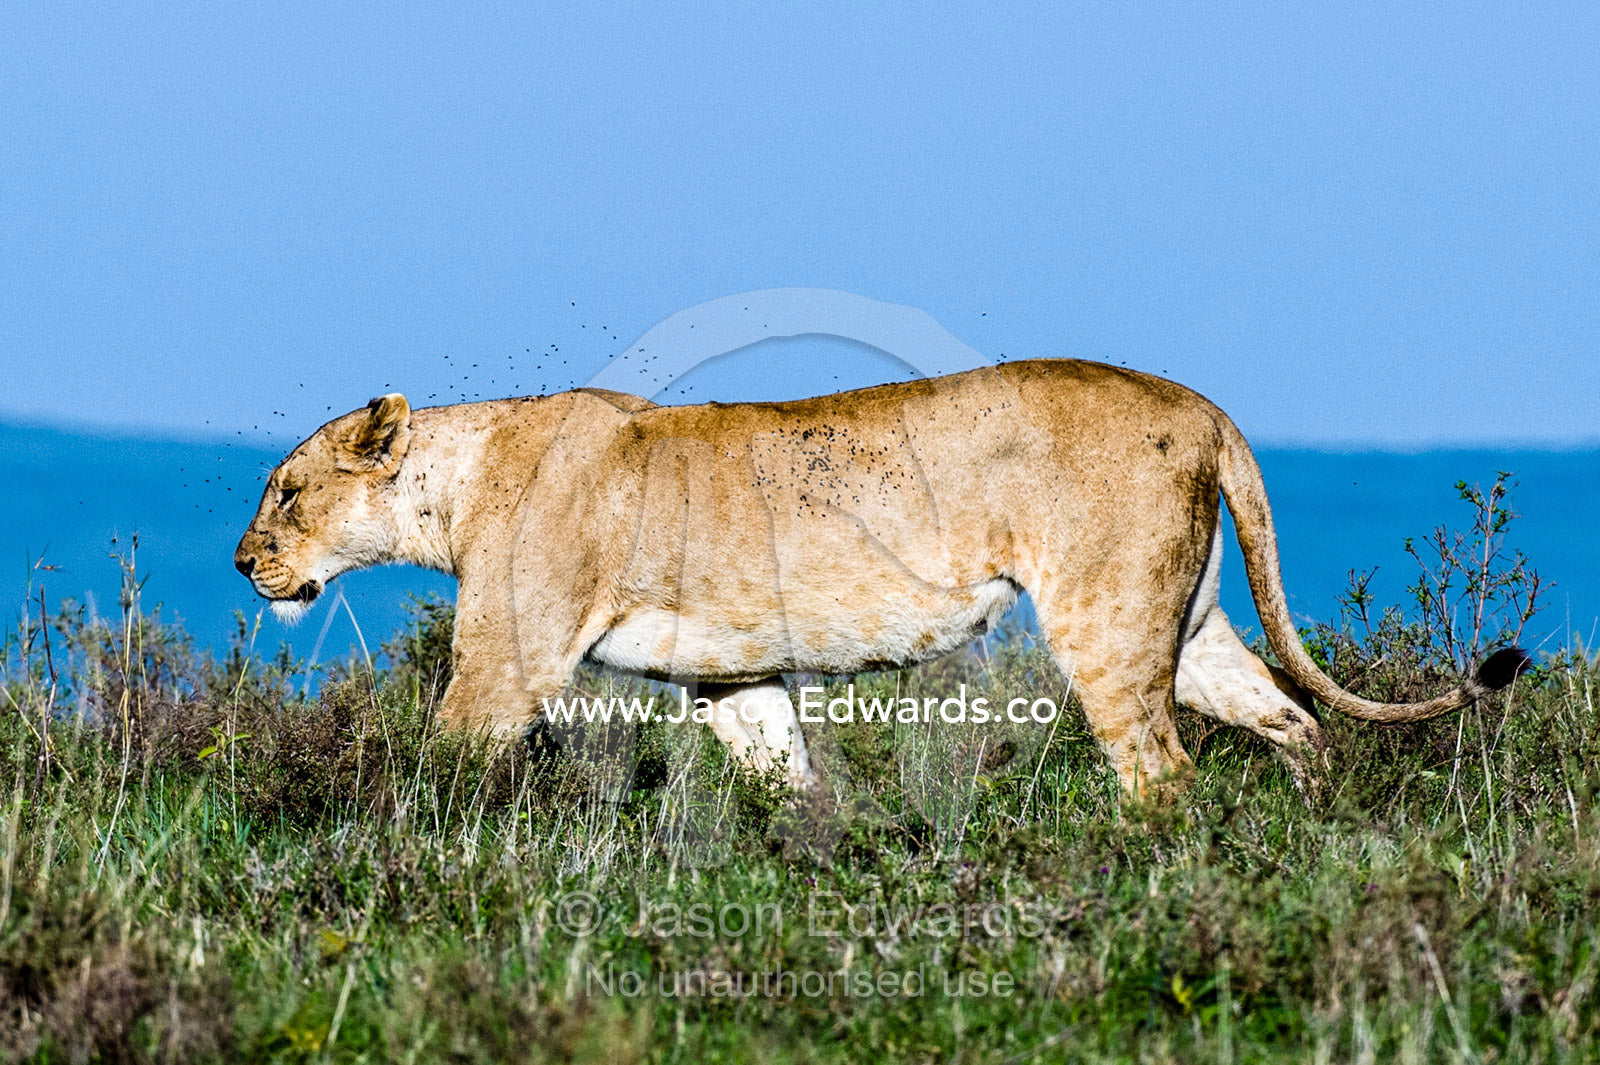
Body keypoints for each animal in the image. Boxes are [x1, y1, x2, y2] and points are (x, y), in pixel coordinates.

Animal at [234, 360, 1528, 798]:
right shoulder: (733, 679)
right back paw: (1310, 843)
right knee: (1294, 725)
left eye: (287, 492)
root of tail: (1201, 405)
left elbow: (436, 772)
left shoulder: (504, 663)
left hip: (1103, 615)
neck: (452, 484)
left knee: (1161, 775)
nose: (245, 562)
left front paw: (393, 859)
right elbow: (782, 777)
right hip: (1194, 619)